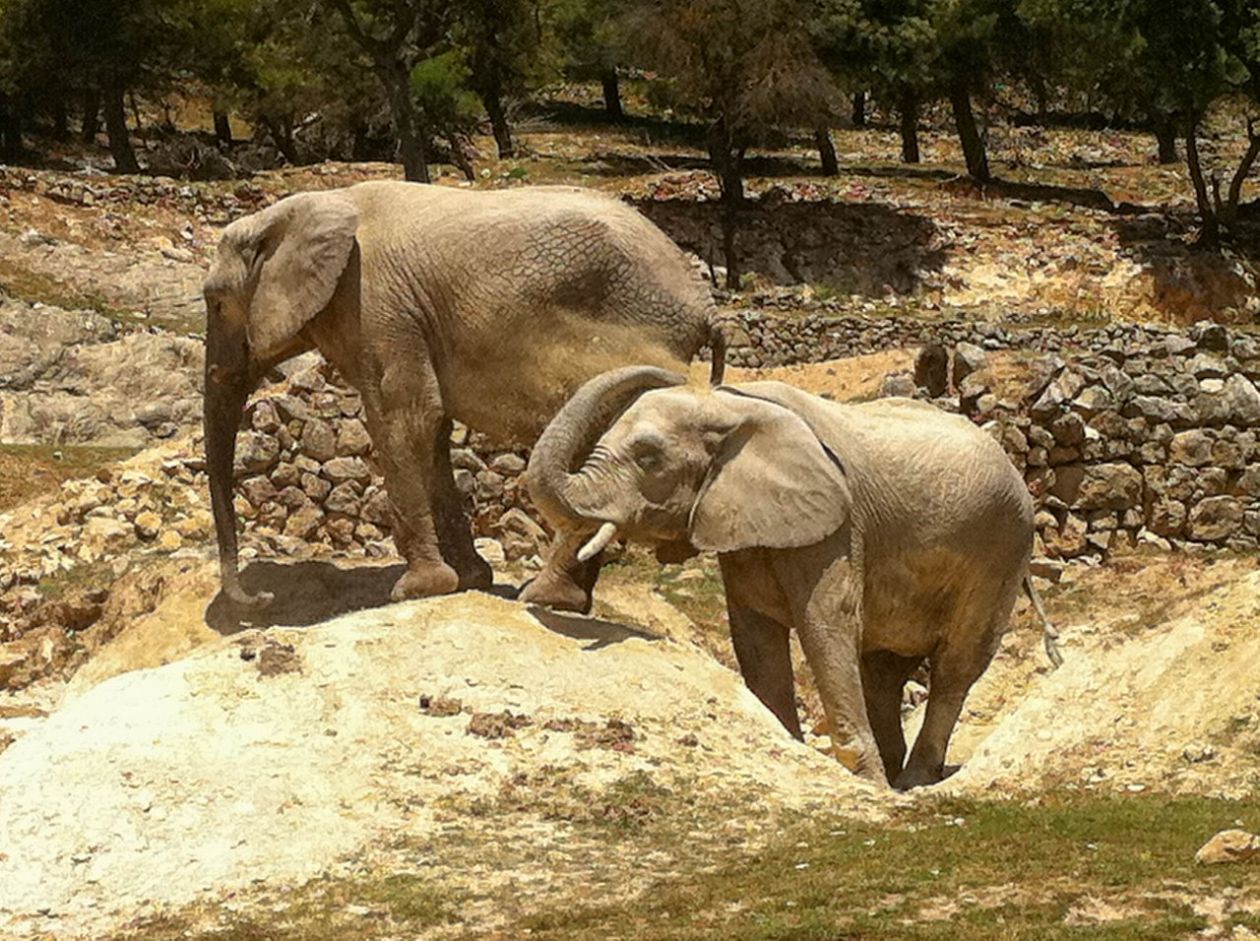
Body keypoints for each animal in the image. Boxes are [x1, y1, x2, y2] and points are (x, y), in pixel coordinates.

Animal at [201, 182, 725, 612]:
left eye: (216, 302)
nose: (262, 599)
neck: (300, 208)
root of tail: (707, 307)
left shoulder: (376, 305)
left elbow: (405, 417)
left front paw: (416, 590)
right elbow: (429, 428)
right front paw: (468, 581)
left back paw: (543, 597)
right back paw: (561, 602)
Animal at [524, 367, 1063, 786]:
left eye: (649, 458)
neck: (732, 407)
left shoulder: (838, 525)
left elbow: (828, 623)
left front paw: (865, 783)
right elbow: (755, 635)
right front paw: (798, 749)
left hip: (1003, 548)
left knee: (956, 666)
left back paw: (910, 780)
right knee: (882, 671)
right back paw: (893, 770)